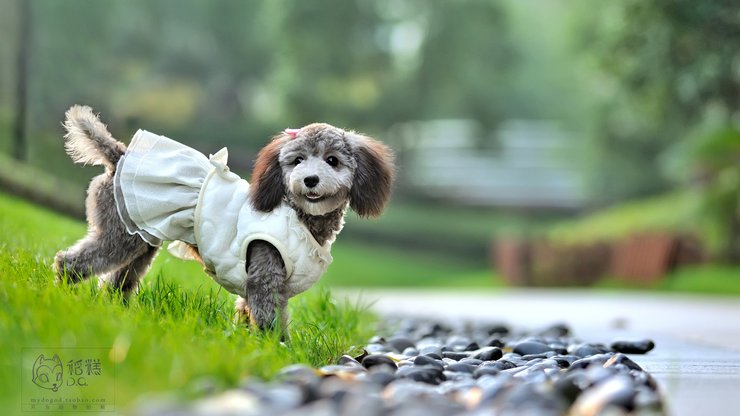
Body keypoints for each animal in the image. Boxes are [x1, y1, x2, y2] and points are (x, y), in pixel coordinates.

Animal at [53, 105, 394, 334]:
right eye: (297, 161)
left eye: (332, 161)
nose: (309, 179)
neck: (297, 216)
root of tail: (119, 154)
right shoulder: (265, 274)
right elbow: (269, 322)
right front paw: (276, 349)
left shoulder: (267, 285)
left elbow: (251, 314)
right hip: (120, 236)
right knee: (73, 262)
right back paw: (62, 294)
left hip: (142, 240)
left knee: (118, 282)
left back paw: (117, 312)